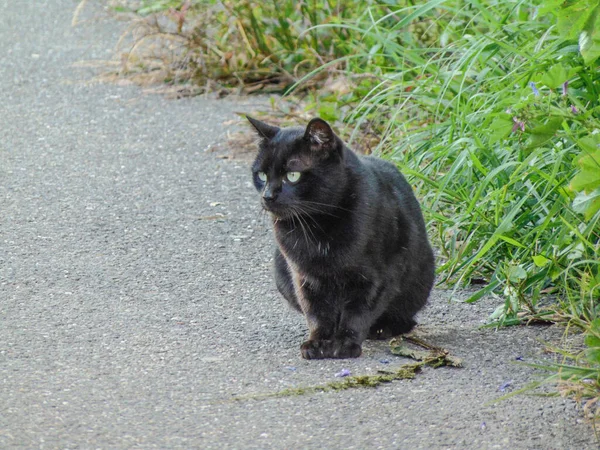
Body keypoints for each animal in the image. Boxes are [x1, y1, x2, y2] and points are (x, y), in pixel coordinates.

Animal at [246, 115, 434, 358]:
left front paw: (345, 343)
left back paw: (384, 328)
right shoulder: (304, 277)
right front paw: (317, 342)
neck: (316, 226)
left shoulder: (377, 277)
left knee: (405, 316)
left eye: (292, 175)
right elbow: (317, 313)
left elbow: (358, 312)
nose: (267, 195)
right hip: (280, 270)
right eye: (261, 175)